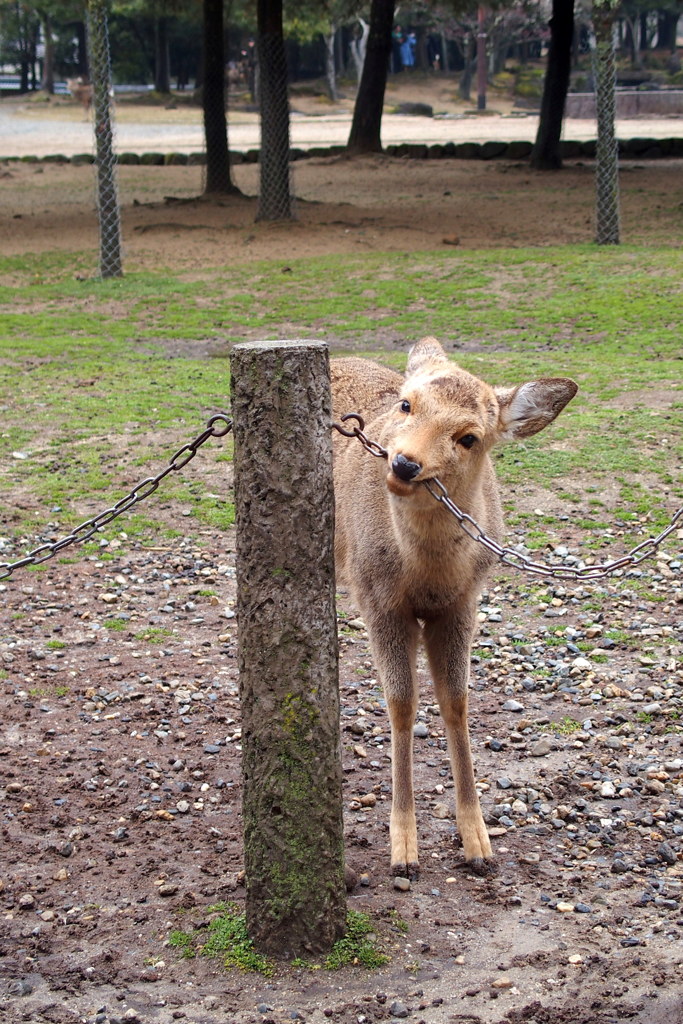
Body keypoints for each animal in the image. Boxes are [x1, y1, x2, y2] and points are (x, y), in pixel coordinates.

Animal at [331, 337, 577, 880]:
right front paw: (403, 849)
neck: (427, 576)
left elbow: (457, 702)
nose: (404, 464)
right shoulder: (378, 599)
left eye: (469, 437)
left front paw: (478, 842)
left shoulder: (465, 601)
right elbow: (402, 704)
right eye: (406, 405)